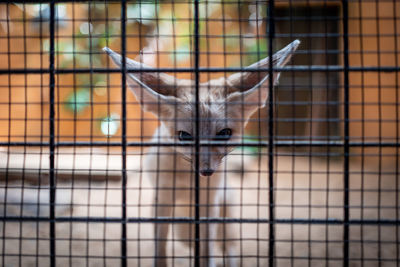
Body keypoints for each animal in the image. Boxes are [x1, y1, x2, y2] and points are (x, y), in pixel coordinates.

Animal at [104, 39, 298, 267]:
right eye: (184, 136)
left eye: (224, 133)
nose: (206, 171)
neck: (189, 183)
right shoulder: (162, 200)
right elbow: (160, 250)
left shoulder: (209, 205)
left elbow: (206, 253)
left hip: (225, 222)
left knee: (229, 249)